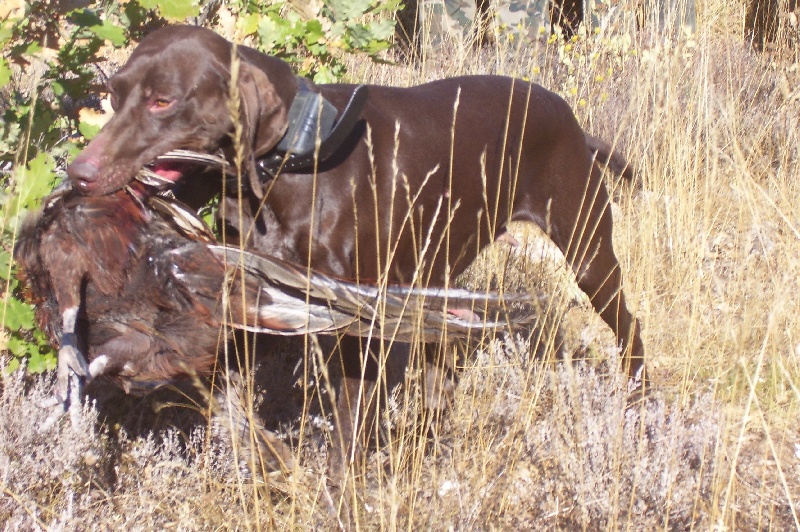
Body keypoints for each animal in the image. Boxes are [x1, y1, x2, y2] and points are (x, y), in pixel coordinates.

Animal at [66, 24, 645, 477]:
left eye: (162, 101)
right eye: (114, 95)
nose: (79, 174)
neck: (292, 162)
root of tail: (568, 116)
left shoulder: (357, 328)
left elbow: (345, 440)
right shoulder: (258, 303)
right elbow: (237, 408)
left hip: (588, 250)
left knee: (629, 326)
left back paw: (639, 404)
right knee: (439, 371)